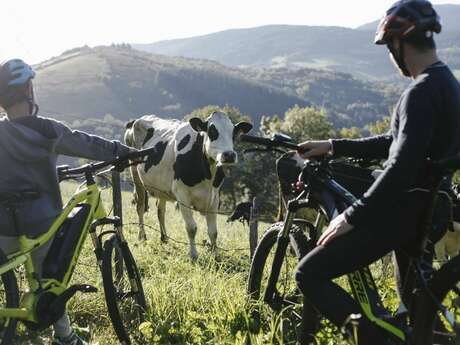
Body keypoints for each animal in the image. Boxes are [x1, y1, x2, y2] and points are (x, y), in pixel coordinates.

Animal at [124, 111, 252, 260]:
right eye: (211, 131)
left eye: (233, 133)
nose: (229, 155)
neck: (207, 175)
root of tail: (136, 120)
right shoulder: (182, 195)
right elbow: (191, 228)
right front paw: (193, 255)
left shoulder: (214, 198)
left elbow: (213, 231)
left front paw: (215, 255)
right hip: (135, 173)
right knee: (139, 207)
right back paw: (142, 236)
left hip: (162, 186)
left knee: (160, 210)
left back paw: (164, 238)